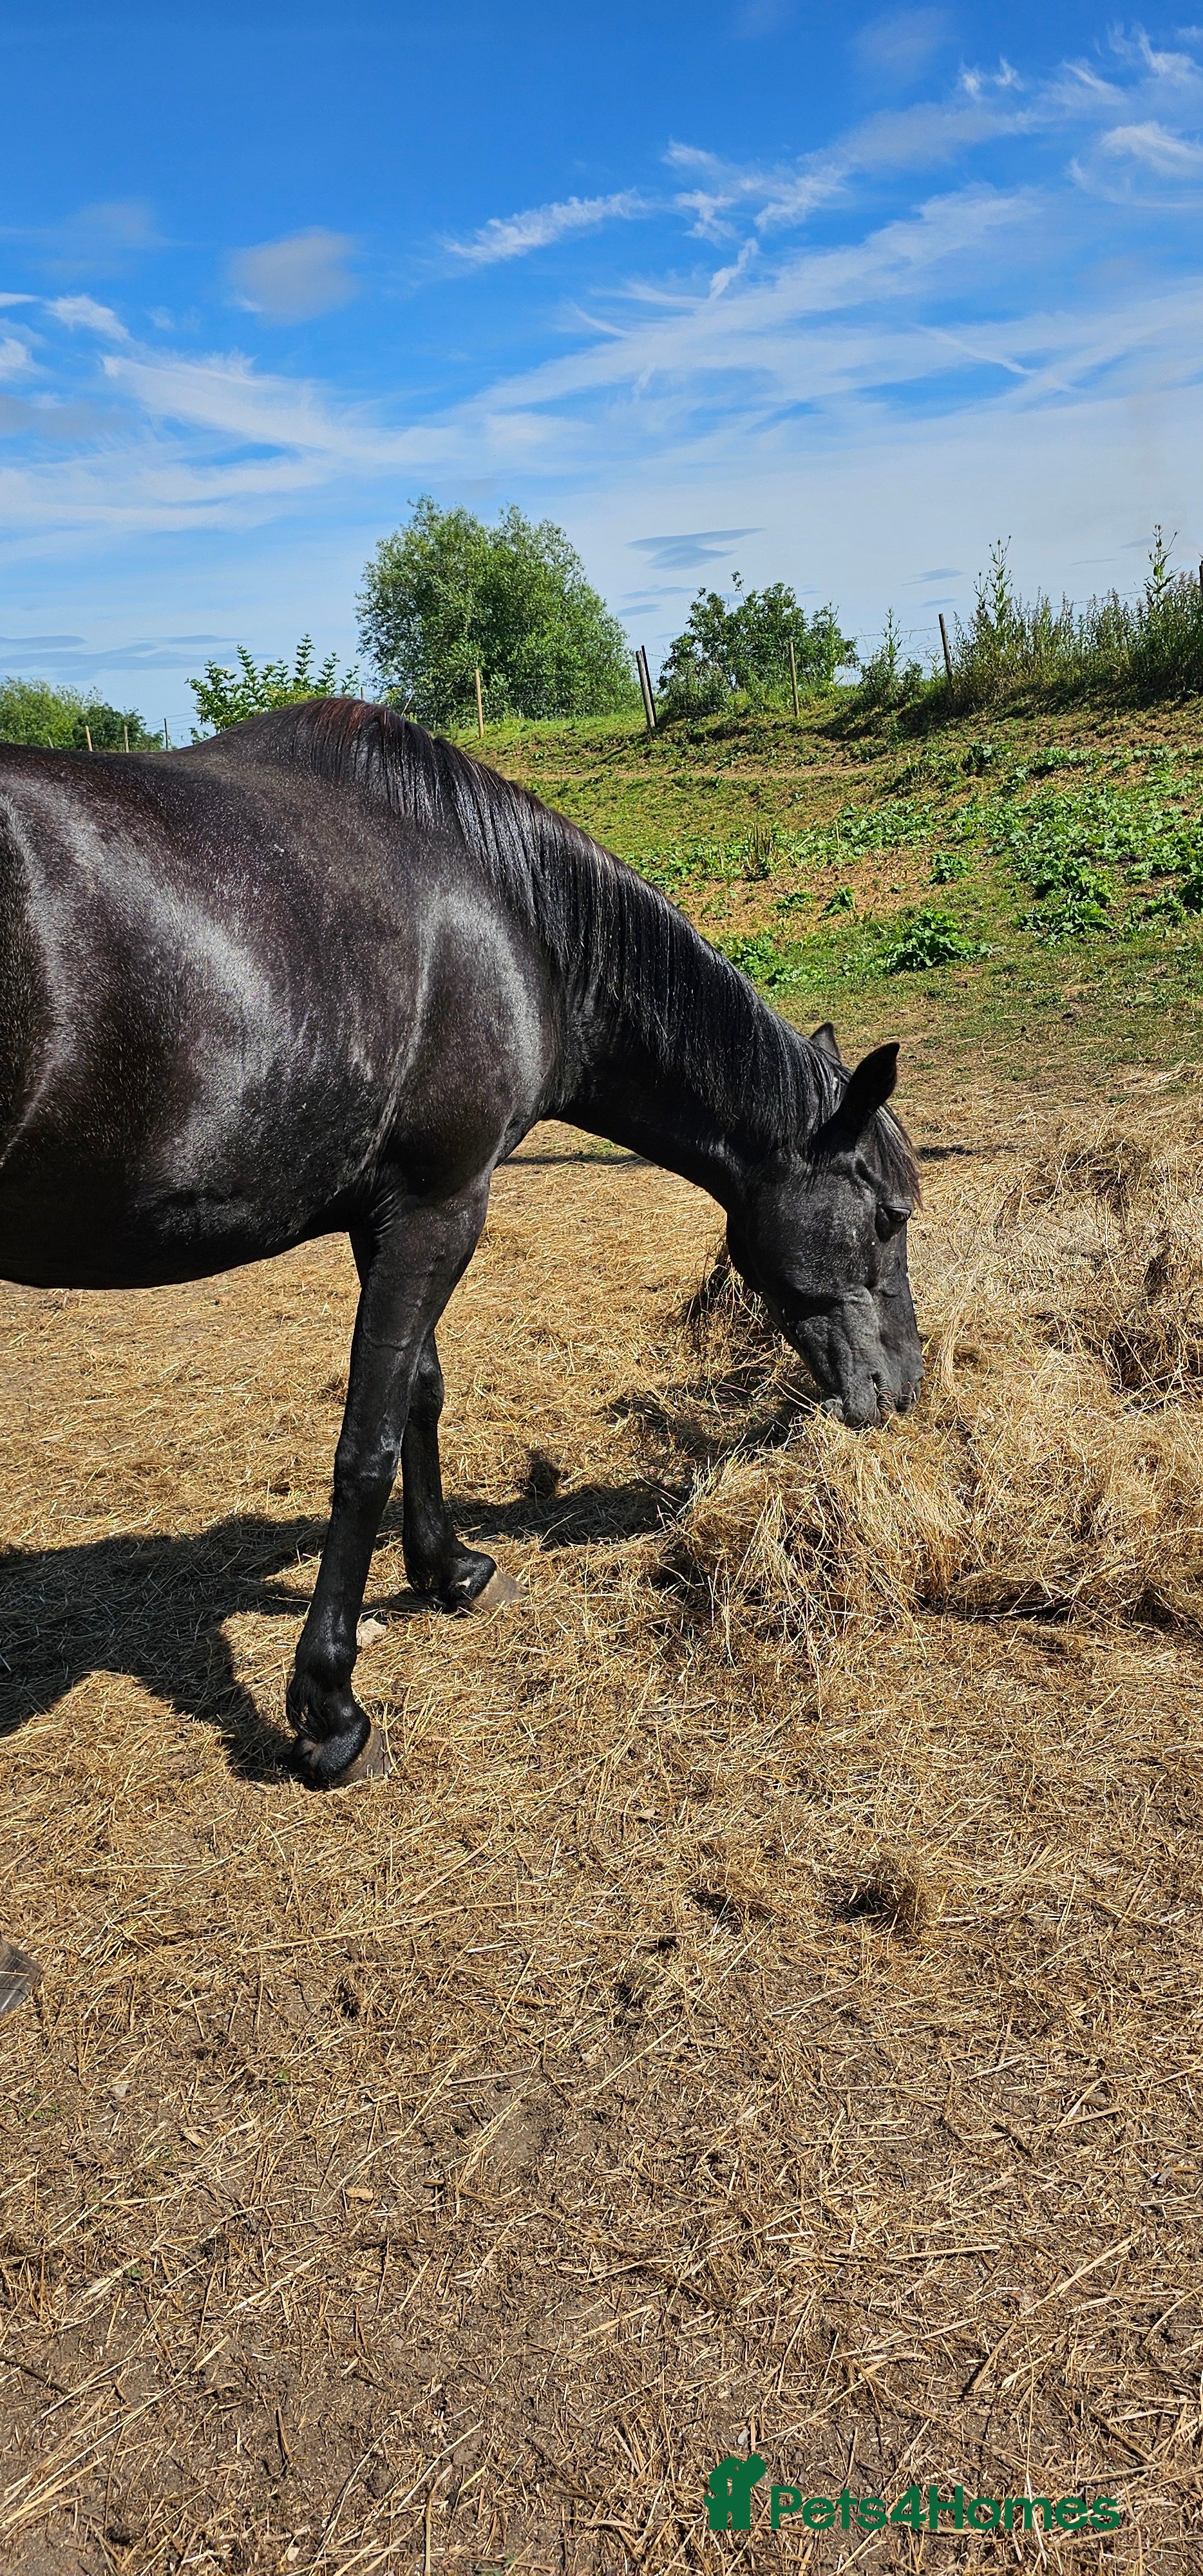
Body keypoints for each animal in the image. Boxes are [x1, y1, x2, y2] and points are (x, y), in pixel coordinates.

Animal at [0, 699, 922, 1788]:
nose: (903, 1389)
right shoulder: (442, 1209)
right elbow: (368, 1445)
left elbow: (422, 1395)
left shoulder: (399, 1215)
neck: (506, 915)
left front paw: (451, 1570)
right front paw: (331, 1710)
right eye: (891, 1216)